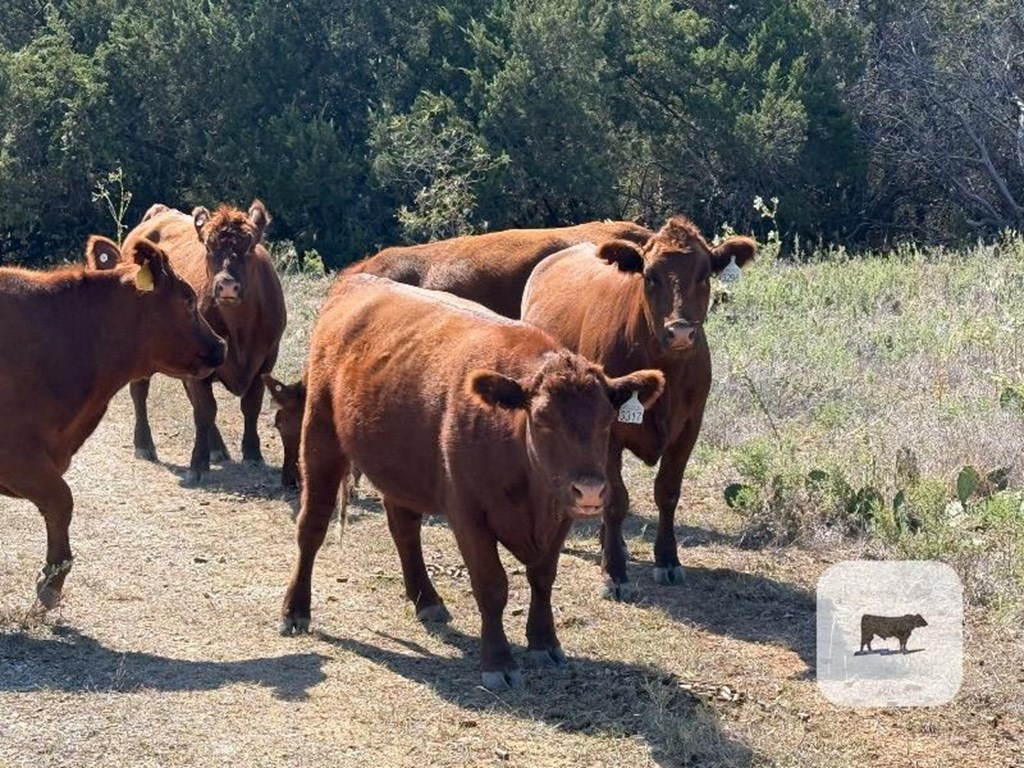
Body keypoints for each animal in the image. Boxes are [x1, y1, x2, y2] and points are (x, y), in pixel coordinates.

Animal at [121, 201, 286, 483]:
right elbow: (205, 411)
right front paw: (197, 464)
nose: (227, 286)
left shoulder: (265, 361)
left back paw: (218, 448)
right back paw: (144, 444)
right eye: (208, 248)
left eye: (249, 247)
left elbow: (250, 405)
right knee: (139, 392)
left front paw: (253, 454)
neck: (240, 331)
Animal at [280, 276, 663, 692]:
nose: (590, 490)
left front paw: (545, 642)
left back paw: (426, 600)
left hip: (400, 466)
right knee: (312, 526)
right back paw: (295, 610)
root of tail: (357, 279)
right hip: (320, 437)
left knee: (404, 528)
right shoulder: (468, 514)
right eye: (542, 417)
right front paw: (498, 661)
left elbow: (543, 576)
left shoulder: (559, 514)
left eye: (608, 419)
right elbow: (492, 585)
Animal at [524, 215, 757, 602]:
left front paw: (668, 559)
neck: (666, 369)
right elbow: (617, 500)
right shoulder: (609, 432)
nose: (680, 332)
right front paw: (614, 572)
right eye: (650, 276)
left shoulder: (689, 427)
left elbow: (667, 491)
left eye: (704, 274)